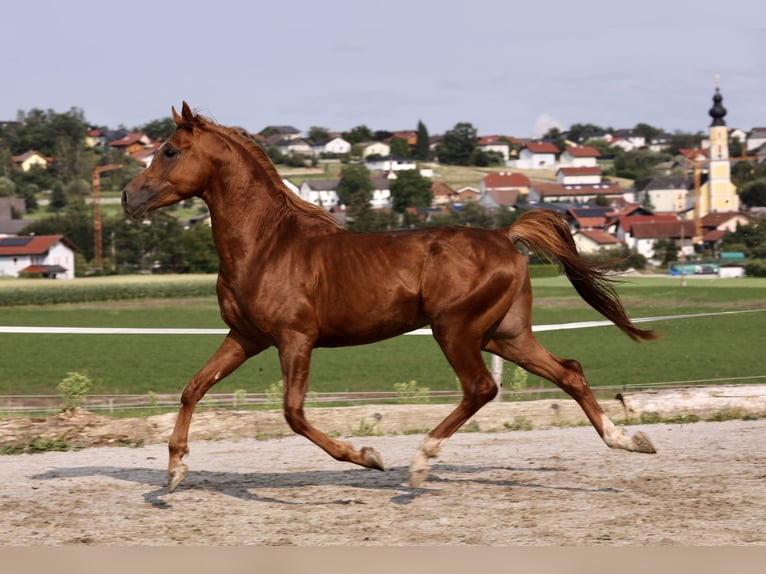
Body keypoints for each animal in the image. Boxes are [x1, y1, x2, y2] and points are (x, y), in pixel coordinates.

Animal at [121, 101, 660, 492]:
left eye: (170, 151)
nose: (128, 197)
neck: (267, 245)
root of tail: (506, 236)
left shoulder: (295, 339)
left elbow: (293, 414)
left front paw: (368, 457)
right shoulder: (245, 337)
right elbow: (193, 388)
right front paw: (174, 471)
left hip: (455, 330)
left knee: (481, 388)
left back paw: (419, 464)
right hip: (505, 335)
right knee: (568, 371)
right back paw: (628, 440)